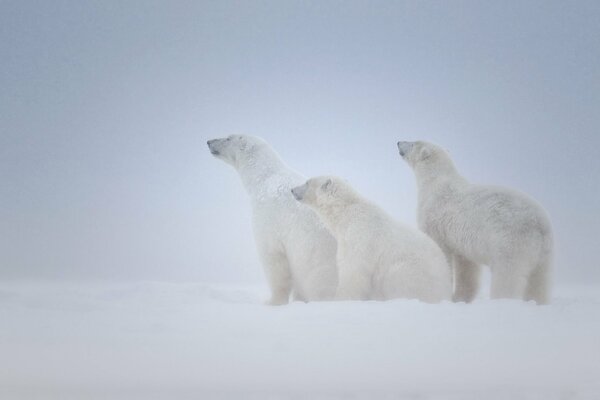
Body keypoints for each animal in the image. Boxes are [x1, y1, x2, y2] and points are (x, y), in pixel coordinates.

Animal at [206, 134, 338, 304]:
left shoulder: (269, 218)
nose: (209, 141)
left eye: (228, 138)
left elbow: (273, 259)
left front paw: (272, 301)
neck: (265, 177)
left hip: (323, 265)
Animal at [290, 177, 450, 302]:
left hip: (411, 270)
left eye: (307, 182)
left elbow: (353, 269)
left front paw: (340, 299)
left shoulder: (358, 235)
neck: (346, 213)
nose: (292, 190)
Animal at [398, 141, 552, 304]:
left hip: (511, 241)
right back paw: (537, 301)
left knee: (507, 274)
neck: (436, 181)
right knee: (539, 280)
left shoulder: (434, 218)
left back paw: (502, 299)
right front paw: (460, 298)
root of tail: (540, 224)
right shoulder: (461, 239)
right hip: (545, 253)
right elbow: (467, 266)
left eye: (413, 143)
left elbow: (440, 249)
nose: (398, 142)